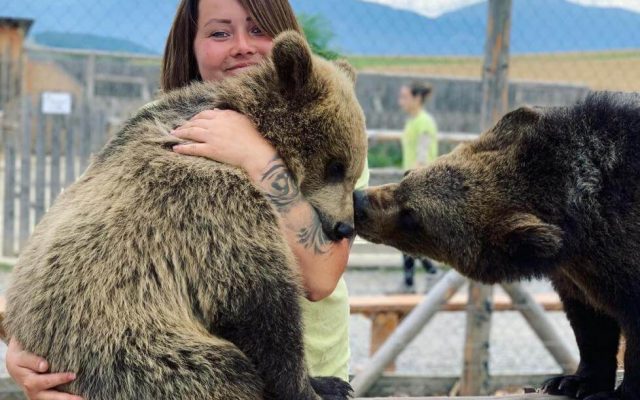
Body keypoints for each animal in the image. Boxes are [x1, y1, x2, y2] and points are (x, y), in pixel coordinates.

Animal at [356, 93, 640, 400]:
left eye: (413, 216)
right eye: (407, 174)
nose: (358, 201)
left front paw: (618, 392)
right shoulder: (578, 279)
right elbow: (591, 327)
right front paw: (573, 382)